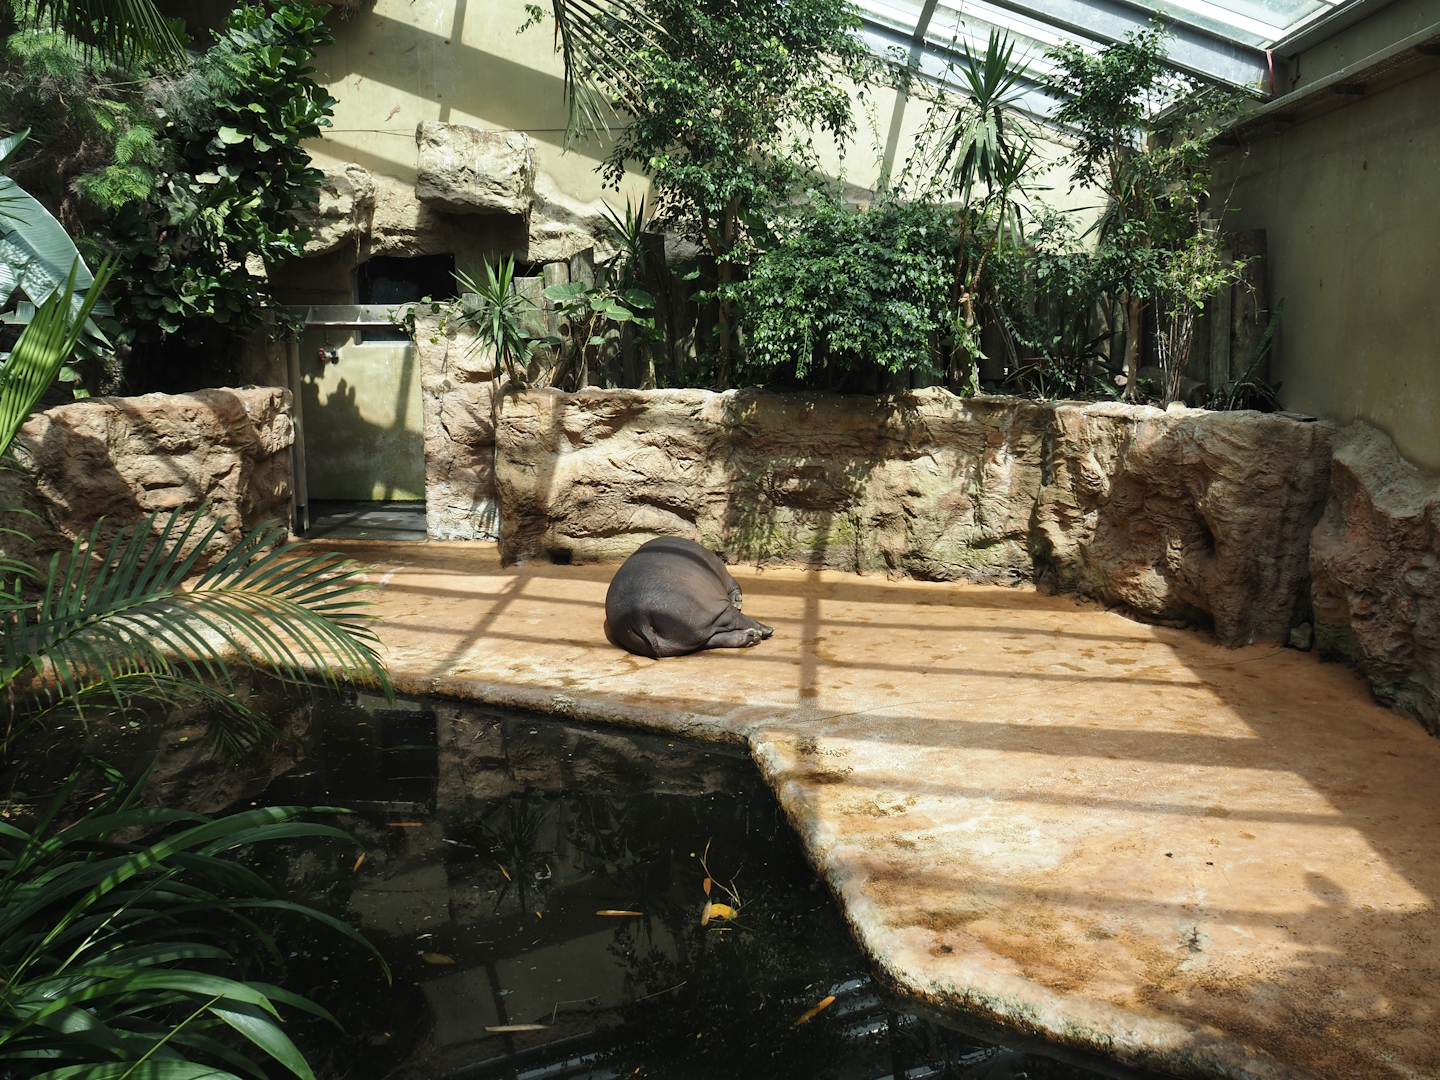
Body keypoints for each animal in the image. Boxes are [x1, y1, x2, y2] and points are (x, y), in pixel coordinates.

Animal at [604, 537, 774, 659]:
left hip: (686, 635)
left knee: (709, 640)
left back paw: (751, 637)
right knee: (735, 618)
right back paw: (764, 631)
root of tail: (637, 613)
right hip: (711, 609)